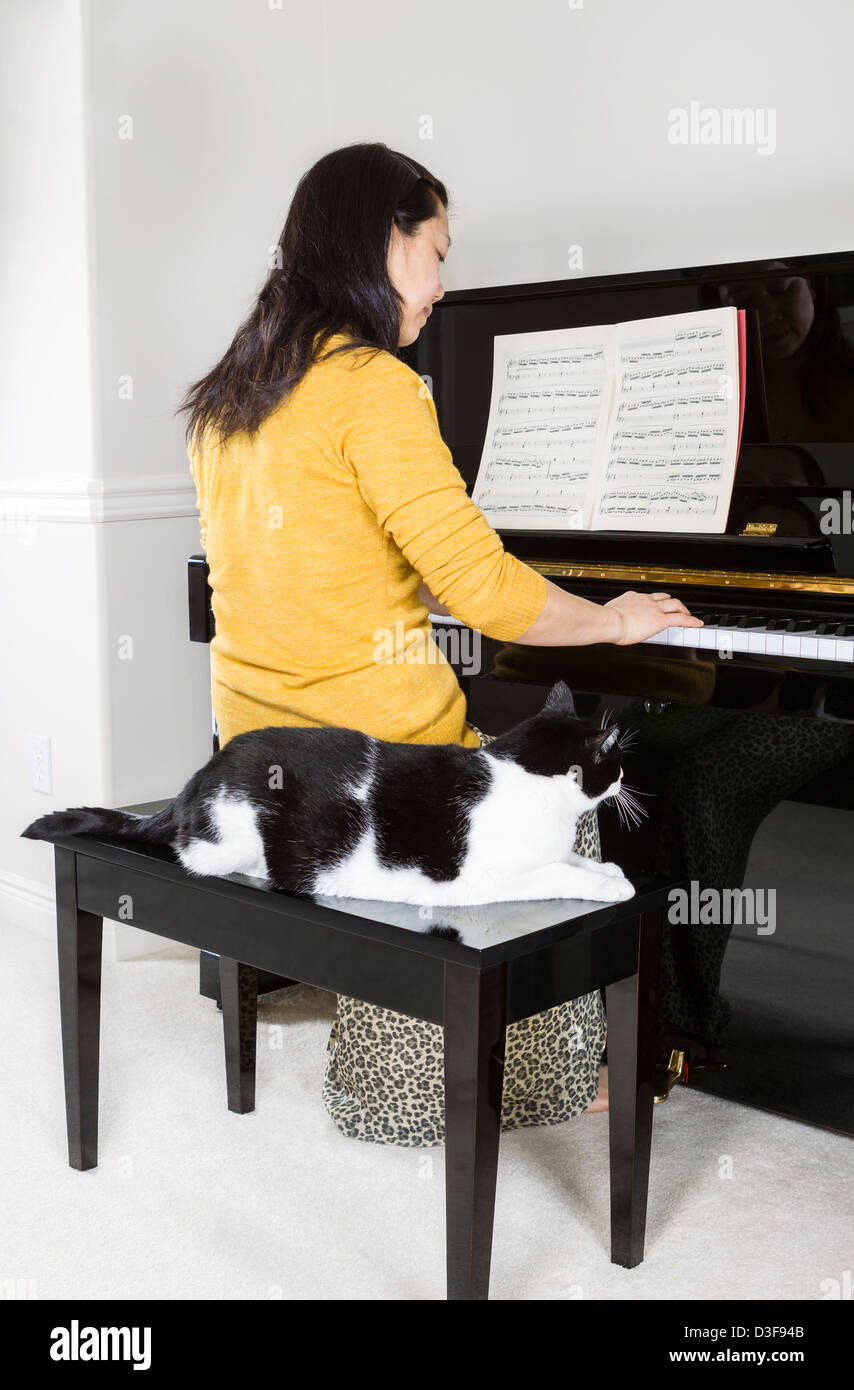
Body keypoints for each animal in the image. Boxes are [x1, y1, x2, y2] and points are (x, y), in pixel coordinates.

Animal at [23, 678, 642, 906]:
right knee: (193, 854)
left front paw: (608, 870)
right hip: (233, 834)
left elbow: (572, 859)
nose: (624, 779)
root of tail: (200, 776)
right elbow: (558, 873)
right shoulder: (488, 878)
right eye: (612, 762)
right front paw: (611, 887)